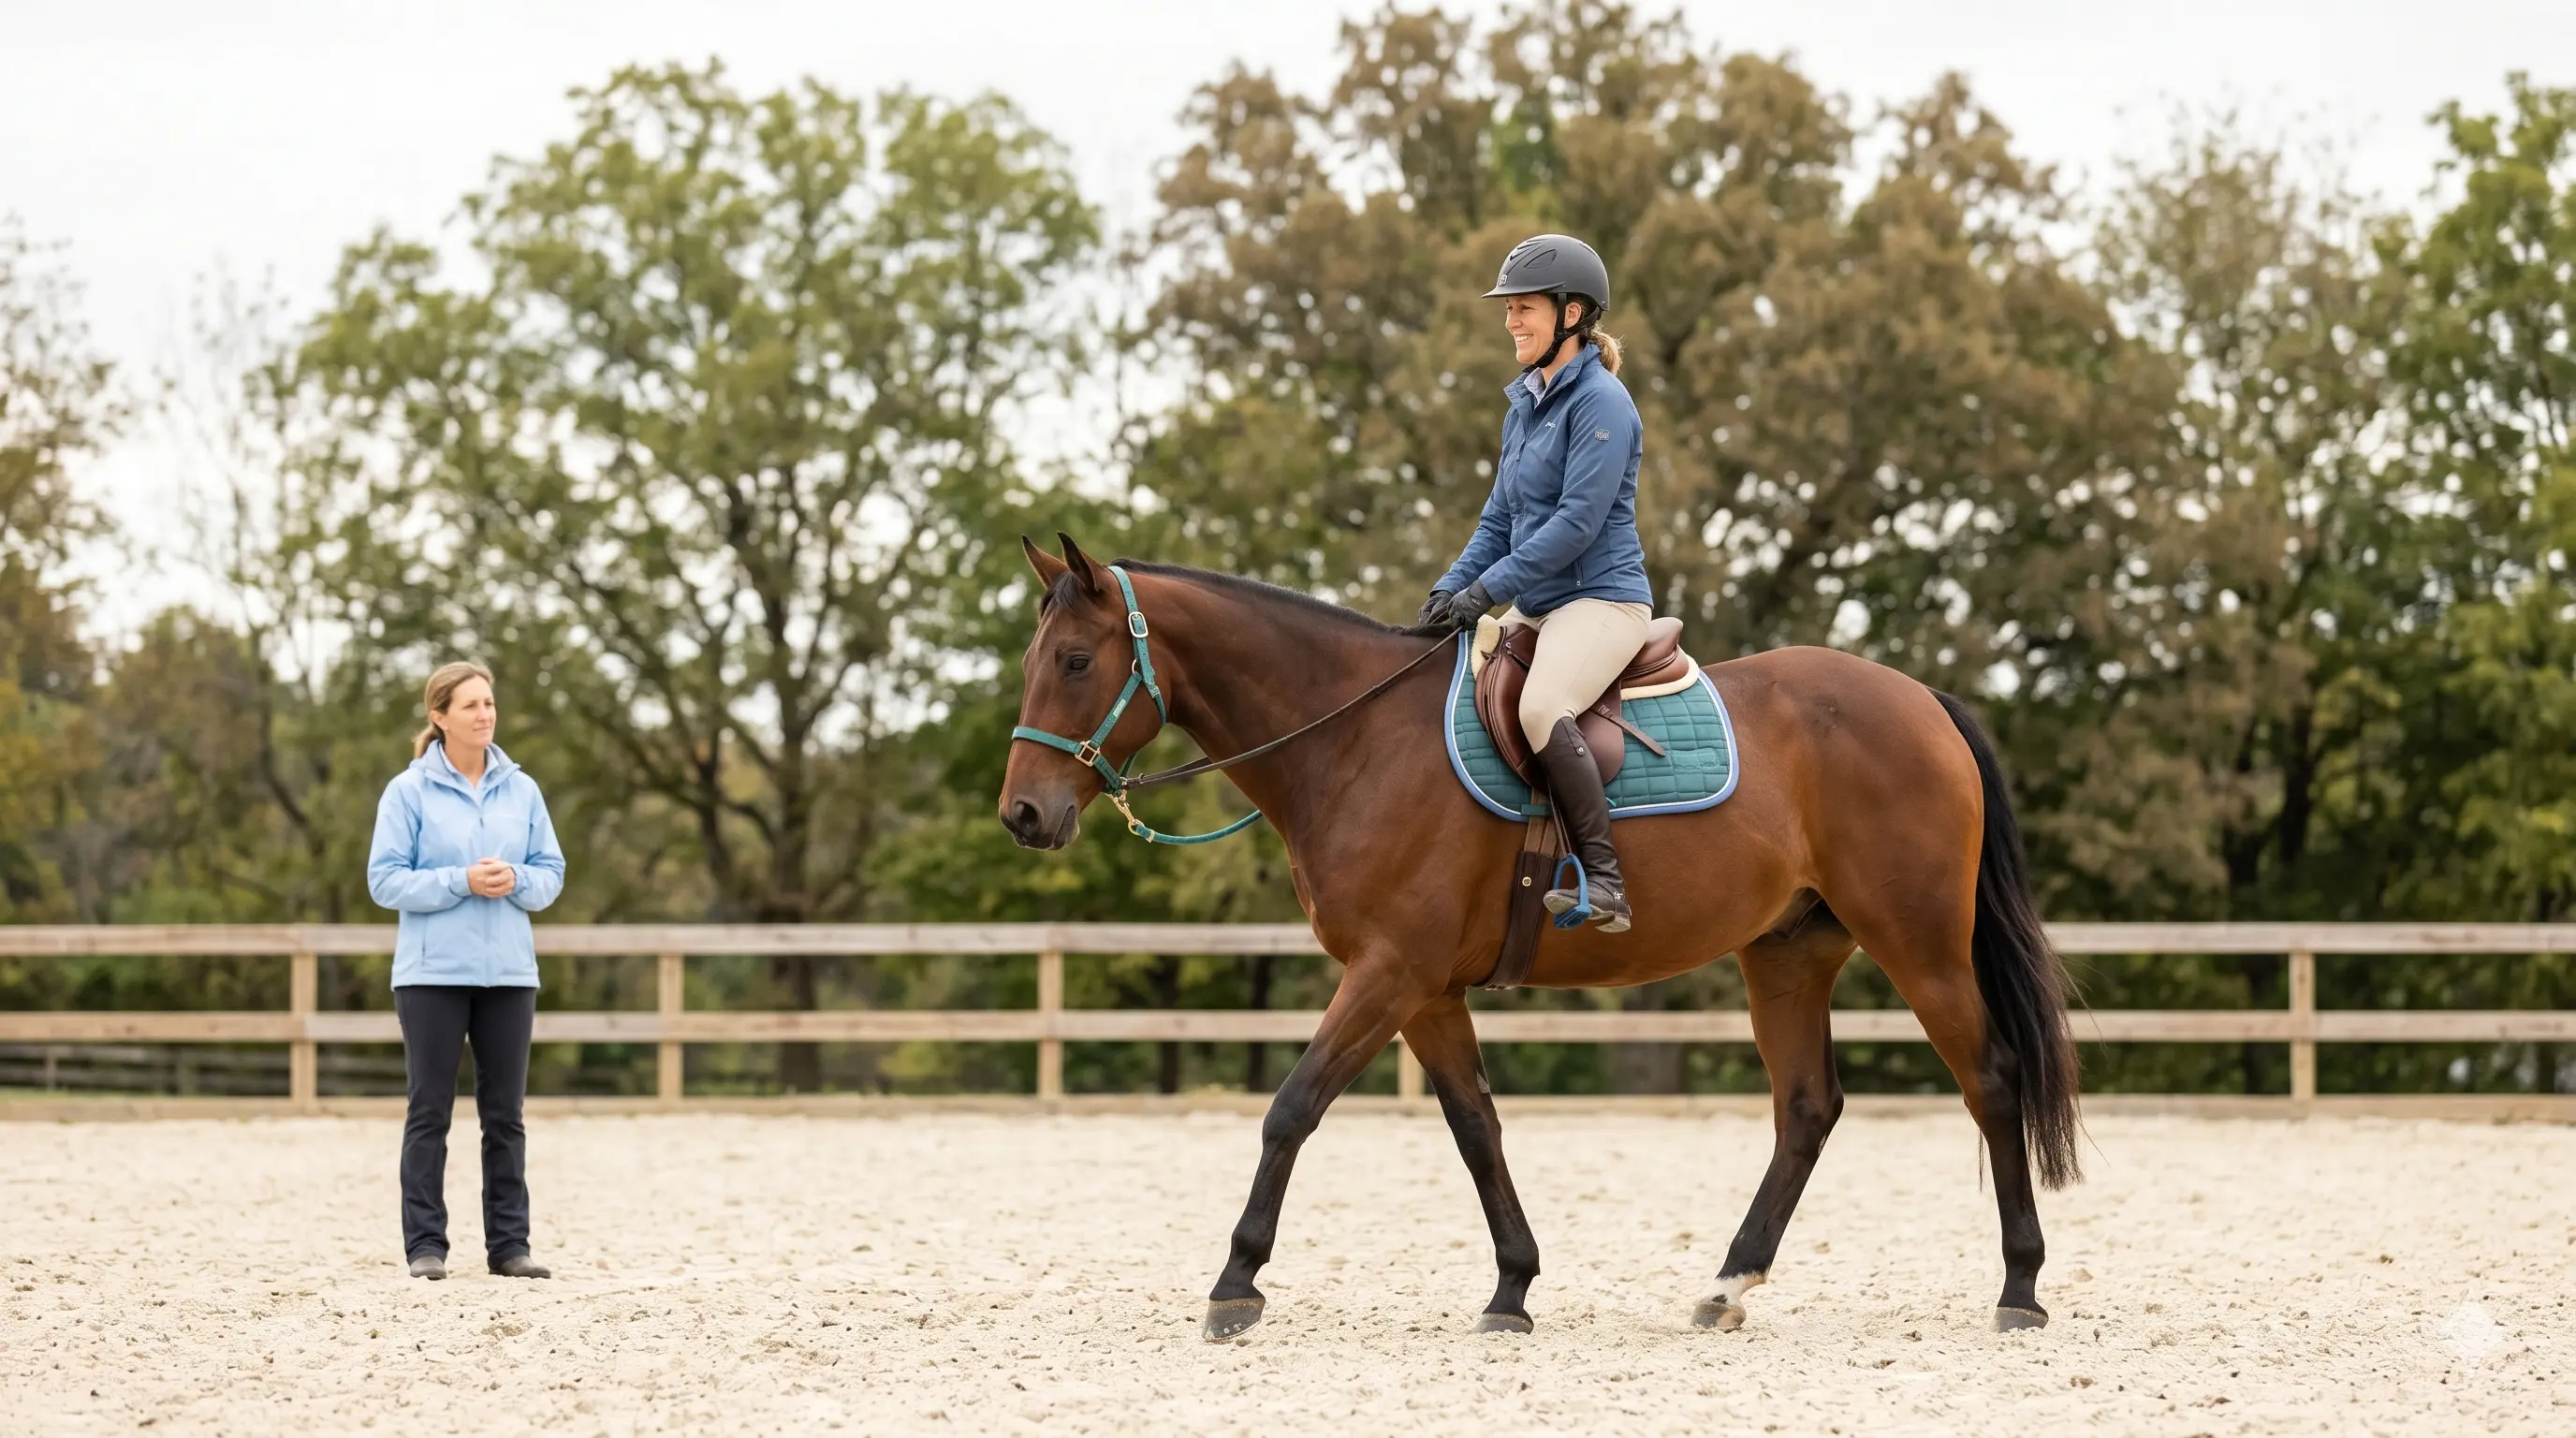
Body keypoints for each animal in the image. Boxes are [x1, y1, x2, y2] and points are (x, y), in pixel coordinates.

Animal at [998, 534, 2081, 1340]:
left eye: (1078, 662)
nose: (1023, 815)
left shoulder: (1388, 974)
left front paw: (1235, 1283)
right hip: (1786, 955)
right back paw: (1728, 1285)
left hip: (1919, 943)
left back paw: (2019, 1289)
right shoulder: (1424, 988)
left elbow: (1291, 1109)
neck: (1352, 741)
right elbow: (1475, 1126)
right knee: (1807, 1108)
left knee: (1989, 1079)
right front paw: (1512, 1290)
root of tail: (1920, 699)